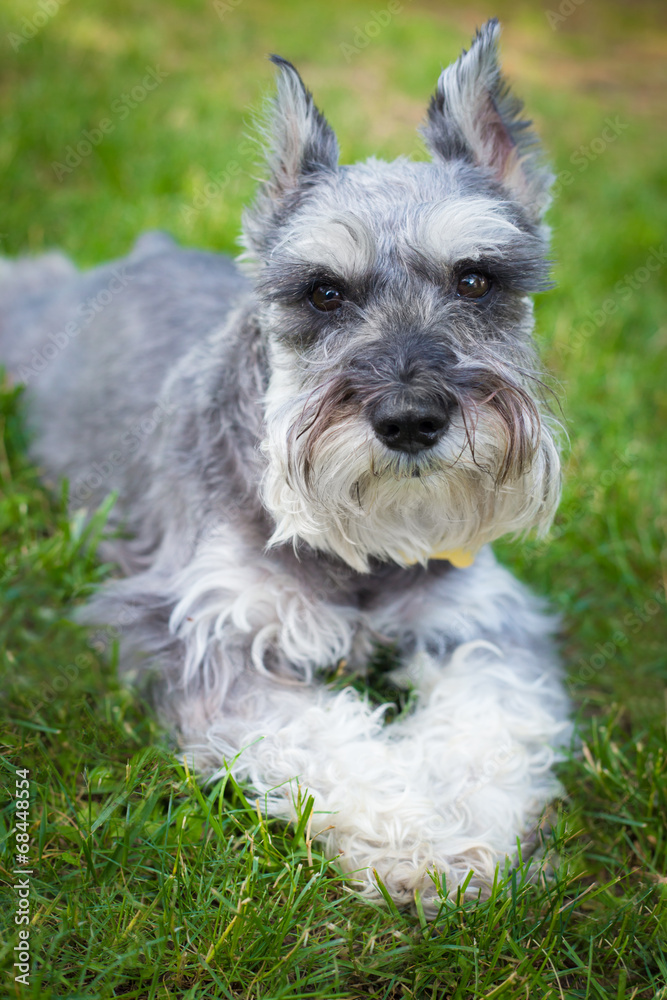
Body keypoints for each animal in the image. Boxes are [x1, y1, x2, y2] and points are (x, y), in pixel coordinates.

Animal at [1, 19, 576, 916]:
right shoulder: (200, 633)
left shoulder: (483, 622)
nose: (410, 420)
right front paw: (414, 844)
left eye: (476, 278)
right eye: (323, 292)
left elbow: (492, 724)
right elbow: (327, 737)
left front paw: (474, 838)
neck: (365, 547)